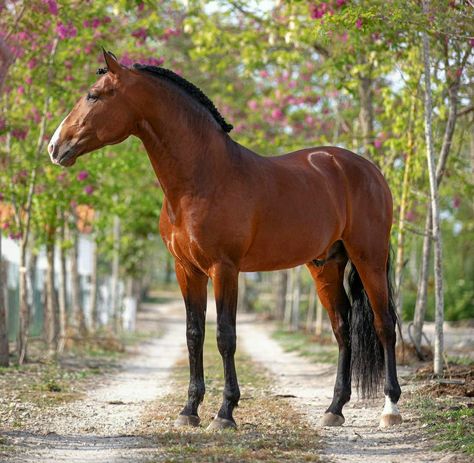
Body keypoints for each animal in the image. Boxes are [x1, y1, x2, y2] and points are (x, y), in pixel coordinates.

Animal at [48, 50, 402, 432]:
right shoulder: (186, 270)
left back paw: (390, 409)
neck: (203, 178)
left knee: (384, 325)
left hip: (369, 258)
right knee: (342, 329)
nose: (54, 146)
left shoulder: (225, 269)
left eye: (94, 95)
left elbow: (225, 336)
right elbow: (194, 334)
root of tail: (368, 169)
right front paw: (189, 410)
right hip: (325, 264)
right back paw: (334, 408)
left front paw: (225, 412)